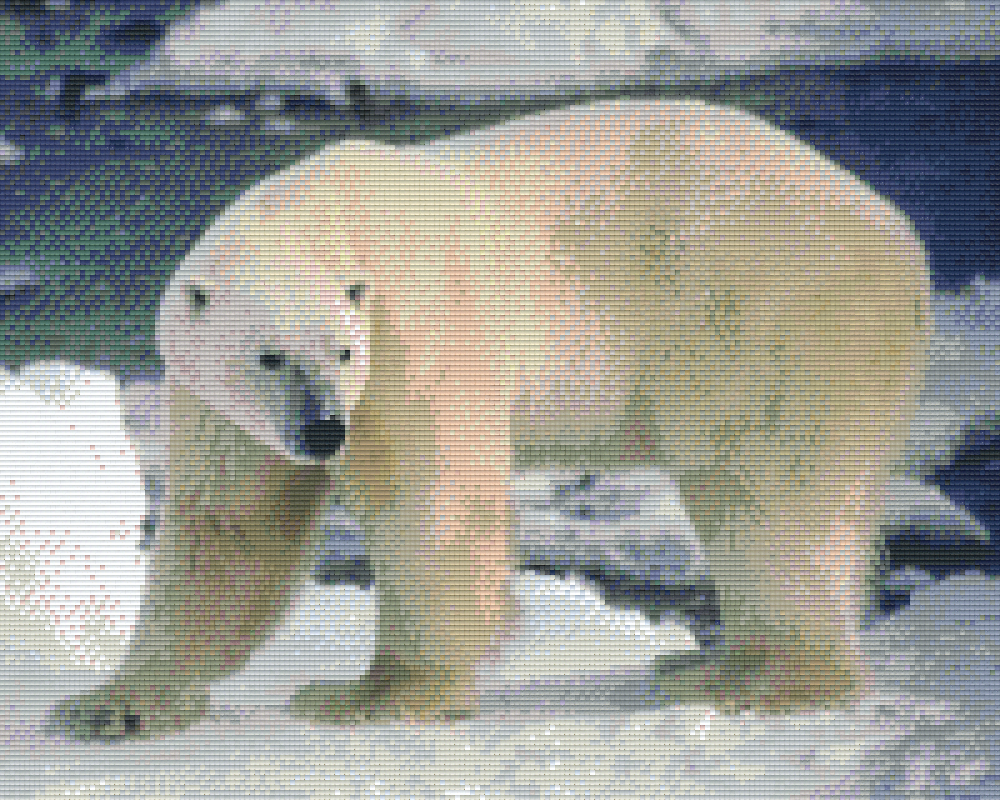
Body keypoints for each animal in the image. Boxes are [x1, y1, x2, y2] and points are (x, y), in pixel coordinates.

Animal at [46, 96, 931, 738]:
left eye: (342, 351)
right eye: (269, 356)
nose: (324, 430)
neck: (326, 214)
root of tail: (900, 235)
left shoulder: (416, 327)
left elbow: (428, 499)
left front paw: (374, 695)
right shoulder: (221, 401)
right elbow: (230, 524)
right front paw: (115, 704)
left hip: (765, 312)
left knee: (766, 492)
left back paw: (755, 677)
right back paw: (703, 666)